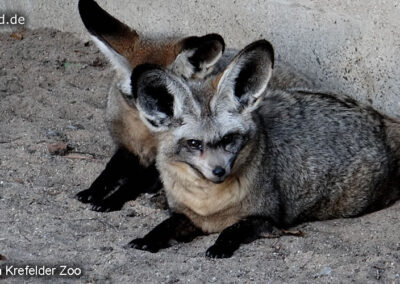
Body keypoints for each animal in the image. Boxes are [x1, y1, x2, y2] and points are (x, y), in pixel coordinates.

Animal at [127, 38, 400, 258]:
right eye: (195, 144)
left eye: (229, 139)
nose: (218, 171)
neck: (209, 207)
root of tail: (380, 118)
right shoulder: (186, 215)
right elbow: (165, 226)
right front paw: (148, 239)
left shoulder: (268, 219)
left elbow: (233, 229)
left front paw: (219, 246)